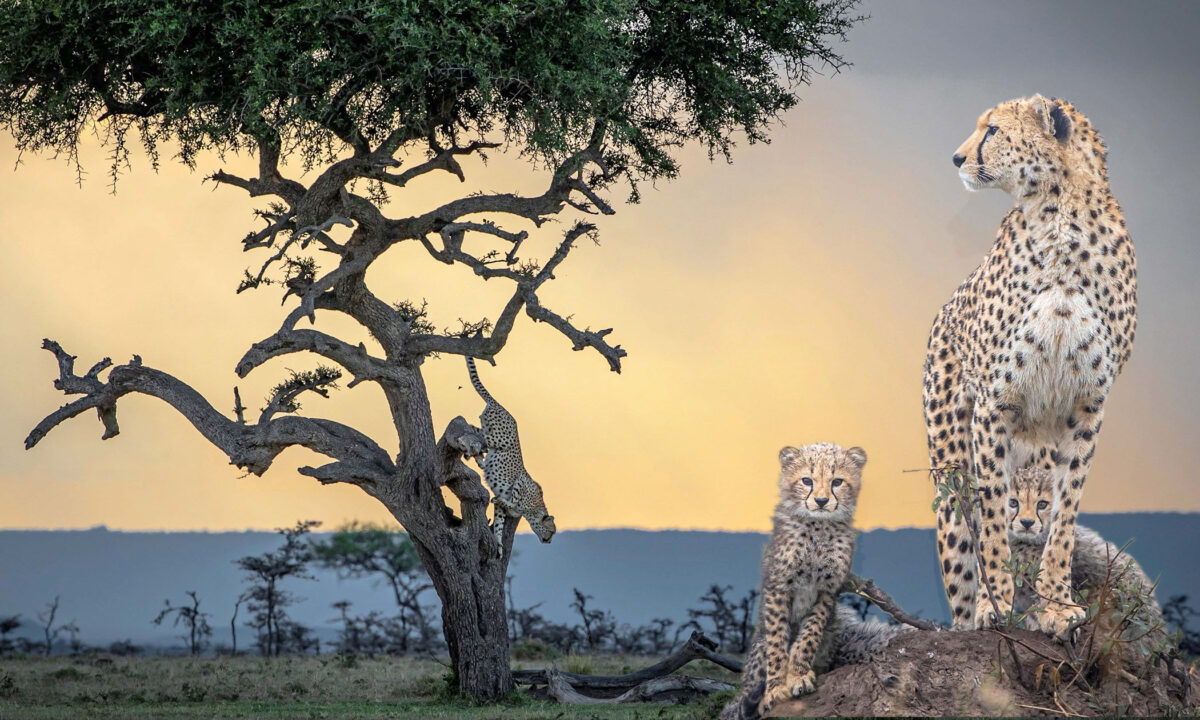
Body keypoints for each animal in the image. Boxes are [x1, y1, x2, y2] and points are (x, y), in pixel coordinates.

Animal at [465, 357, 554, 554]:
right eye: (551, 531)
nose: (549, 541)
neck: (535, 509)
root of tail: (501, 406)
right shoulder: (521, 483)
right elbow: (513, 501)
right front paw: (505, 501)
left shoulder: (501, 509)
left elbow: (499, 522)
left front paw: (498, 544)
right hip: (499, 440)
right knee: (466, 426)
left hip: (488, 434)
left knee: (472, 428)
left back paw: (478, 458)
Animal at [715, 441, 868, 715]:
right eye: (806, 480)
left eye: (837, 481)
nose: (821, 500)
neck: (819, 527)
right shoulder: (779, 586)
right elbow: (778, 641)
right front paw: (776, 688)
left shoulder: (827, 589)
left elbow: (810, 635)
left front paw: (798, 675)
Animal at [921, 94, 1137, 633]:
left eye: (994, 130)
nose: (956, 158)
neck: (1060, 217)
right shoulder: (994, 404)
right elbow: (995, 513)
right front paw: (995, 604)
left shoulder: (1088, 405)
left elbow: (1064, 510)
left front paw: (1056, 604)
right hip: (949, 465)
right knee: (961, 543)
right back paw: (972, 615)